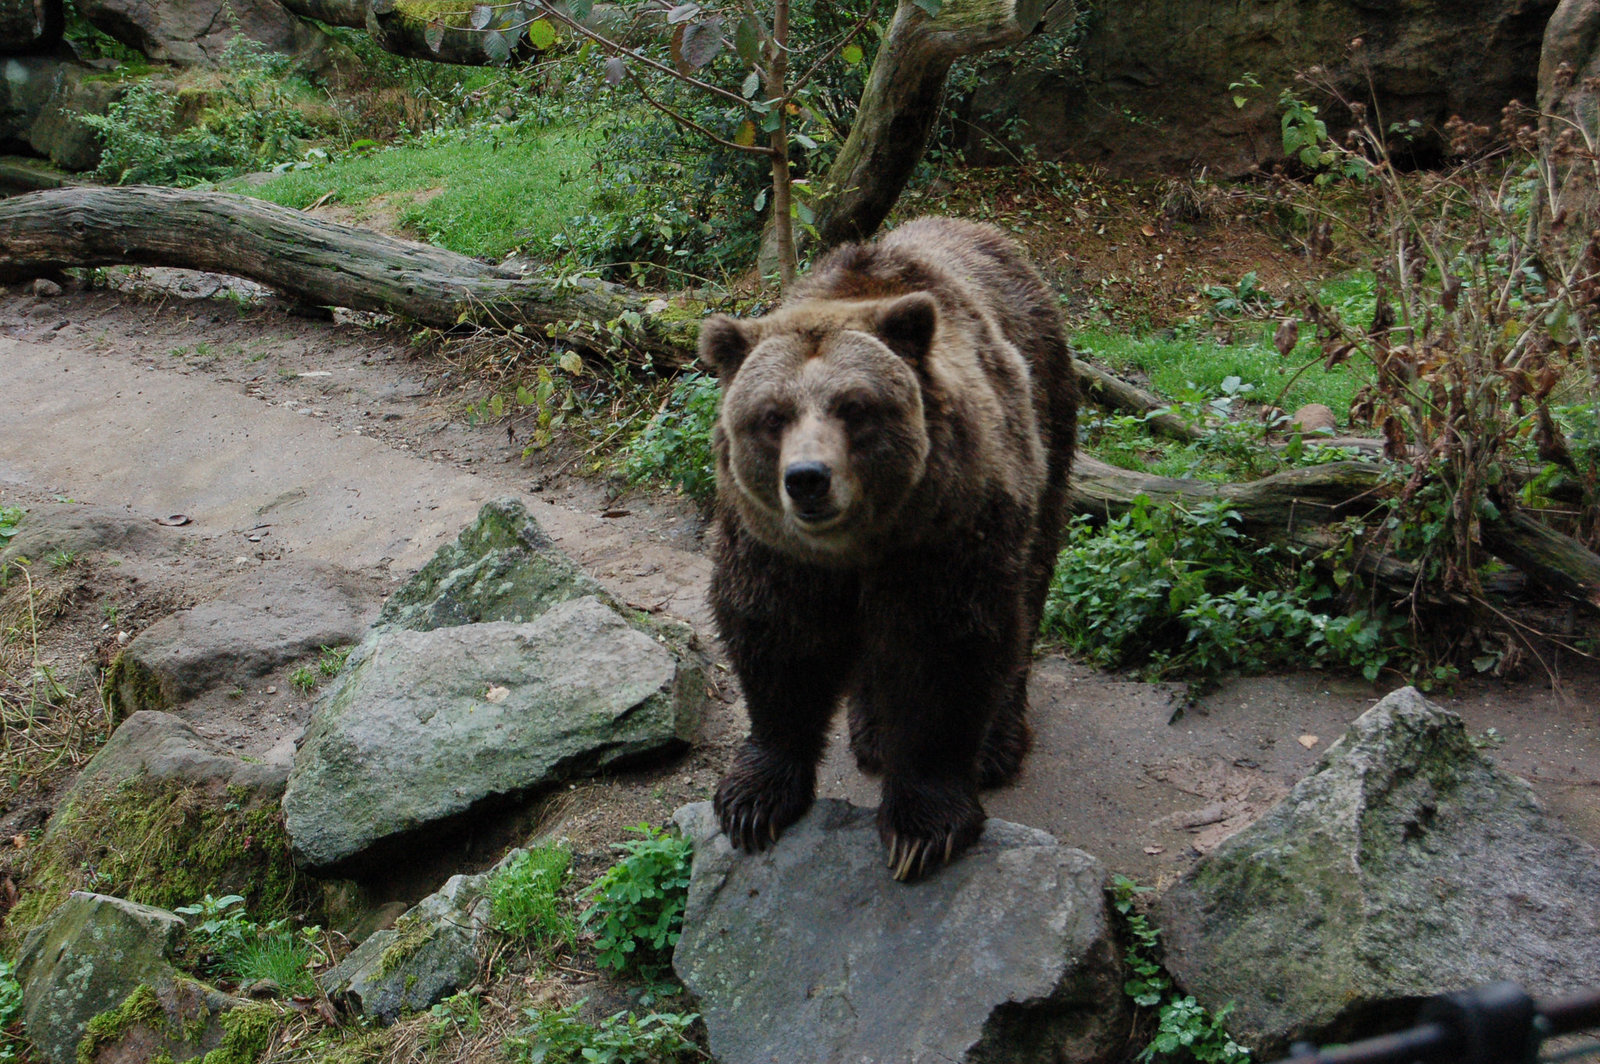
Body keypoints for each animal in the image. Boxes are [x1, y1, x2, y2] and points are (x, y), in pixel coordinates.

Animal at [700, 216, 1075, 876]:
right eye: (772, 415)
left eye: (854, 407)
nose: (808, 478)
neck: (857, 547)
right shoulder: (773, 548)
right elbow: (774, 637)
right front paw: (753, 799)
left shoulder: (946, 535)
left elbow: (943, 653)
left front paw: (923, 827)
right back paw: (871, 729)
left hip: (1046, 419)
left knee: (1028, 591)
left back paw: (996, 741)